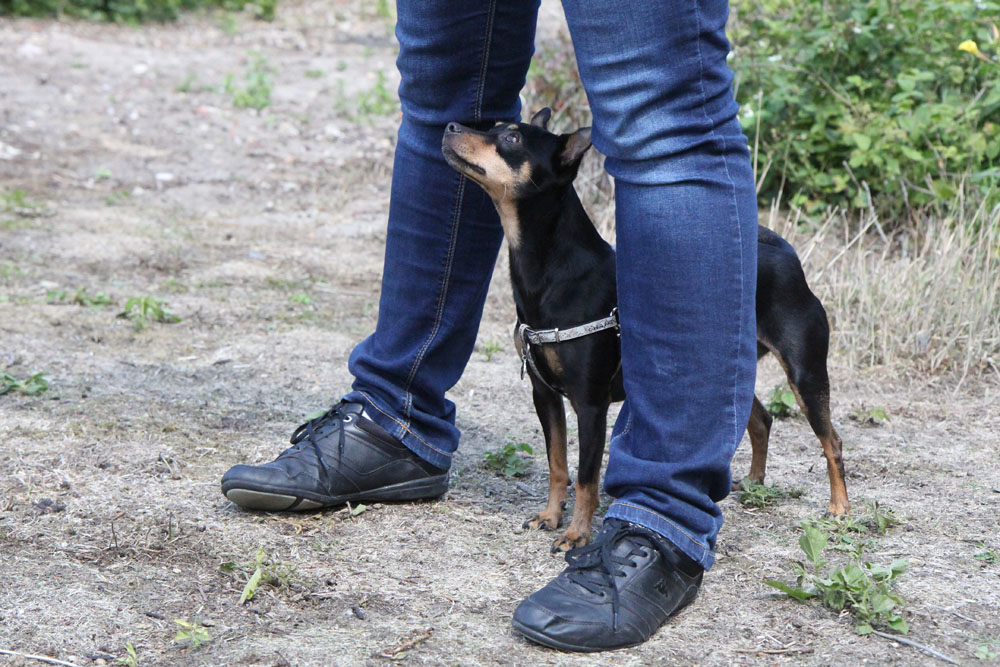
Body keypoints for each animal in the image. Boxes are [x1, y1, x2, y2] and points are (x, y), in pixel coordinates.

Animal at [442, 108, 849, 552]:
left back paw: (839, 508)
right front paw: (550, 516)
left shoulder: (591, 404)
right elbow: (557, 464)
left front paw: (576, 534)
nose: (450, 127)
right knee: (760, 420)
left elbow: (585, 477)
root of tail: (785, 252)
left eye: (513, 139)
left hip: (805, 373)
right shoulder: (544, 395)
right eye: (496, 127)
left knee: (831, 441)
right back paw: (755, 482)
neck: (549, 271)